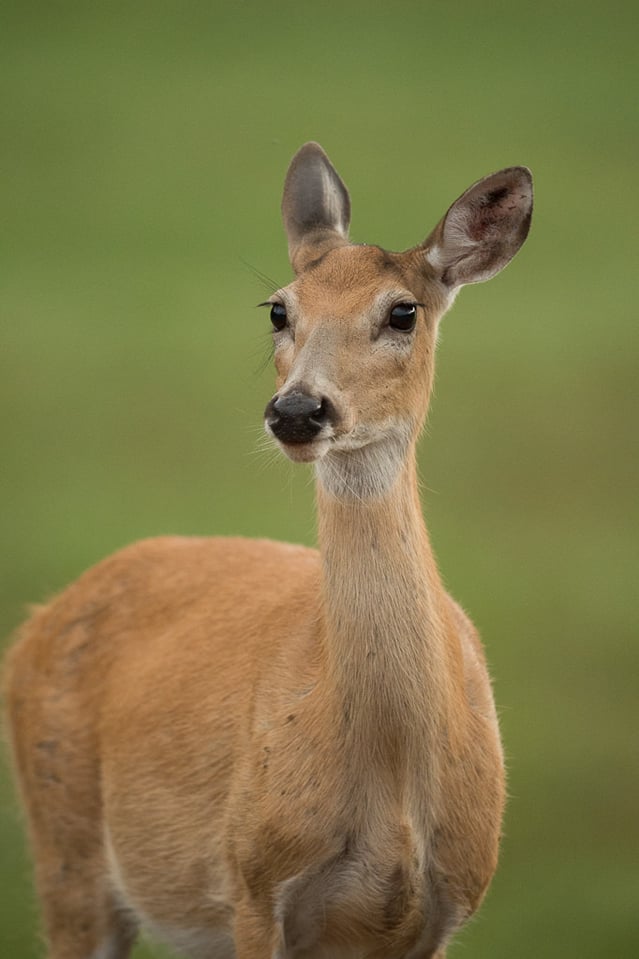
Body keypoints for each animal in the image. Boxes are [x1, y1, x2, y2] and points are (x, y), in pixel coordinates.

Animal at [3, 142, 536, 959]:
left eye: (403, 311)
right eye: (279, 309)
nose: (297, 409)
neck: (391, 768)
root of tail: (40, 618)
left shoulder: (448, 905)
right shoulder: (252, 878)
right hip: (65, 848)